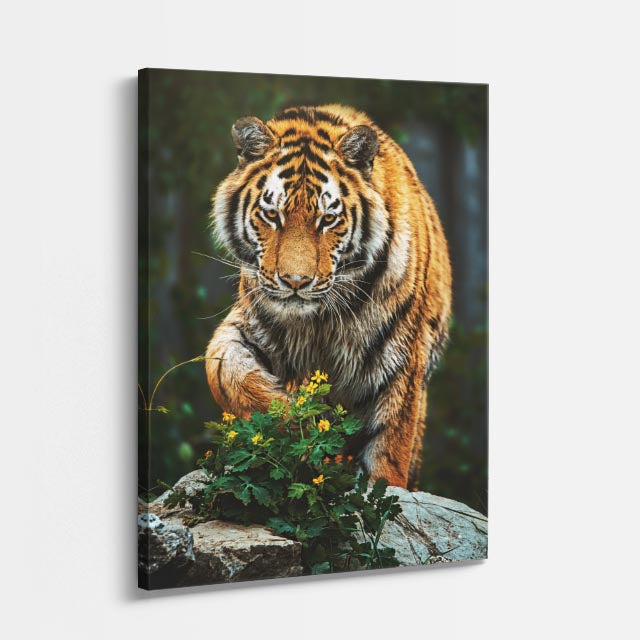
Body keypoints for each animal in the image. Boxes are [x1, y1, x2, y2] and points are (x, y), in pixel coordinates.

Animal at [205, 104, 452, 489]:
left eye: (328, 219)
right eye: (272, 215)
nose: (295, 281)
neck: (317, 321)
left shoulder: (403, 356)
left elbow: (389, 449)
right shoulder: (245, 324)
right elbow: (225, 372)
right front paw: (298, 422)